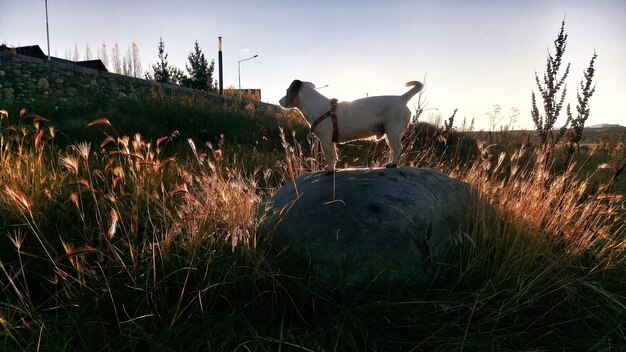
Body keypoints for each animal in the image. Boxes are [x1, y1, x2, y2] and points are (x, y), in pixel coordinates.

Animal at [280, 79, 422, 173]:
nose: (279, 101)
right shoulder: (330, 142)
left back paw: (392, 164)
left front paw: (330, 170)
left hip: (392, 131)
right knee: (393, 149)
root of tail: (402, 98)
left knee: (397, 148)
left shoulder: (325, 141)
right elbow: (334, 155)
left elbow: (329, 156)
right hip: (390, 133)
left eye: (287, 91)